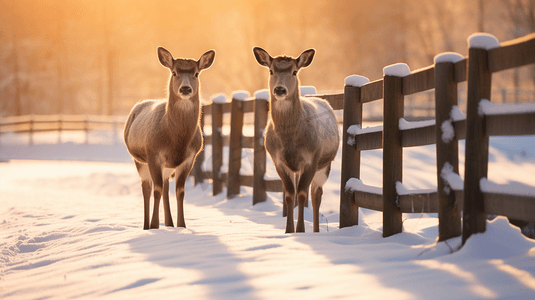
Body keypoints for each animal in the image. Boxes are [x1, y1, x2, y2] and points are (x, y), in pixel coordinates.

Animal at [125, 47, 216, 230]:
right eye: (174, 72)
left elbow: (180, 191)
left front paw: (182, 225)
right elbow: (156, 190)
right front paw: (154, 225)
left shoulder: (190, 157)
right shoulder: (153, 153)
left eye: (196, 73)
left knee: (166, 186)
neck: (177, 142)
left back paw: (169, 223)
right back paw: (146, 225)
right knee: (147, 187)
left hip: (166, 167)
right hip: (139, 159)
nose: (185, 89)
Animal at [254, 47, 340, 234]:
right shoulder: (278, 160)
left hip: (324, 164)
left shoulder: (312, 158)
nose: (280, 90)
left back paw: (316, 230)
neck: (289, 141)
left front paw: (300, 230)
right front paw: (288, 230)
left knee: (316, 194)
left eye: (294, 72)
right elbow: (289, 195)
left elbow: (301, 194)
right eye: (271, 71)